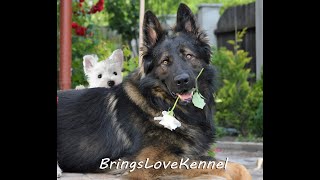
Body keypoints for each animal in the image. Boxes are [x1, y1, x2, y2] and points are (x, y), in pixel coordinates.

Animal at [58, 3, 252, 179]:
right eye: (165, 62)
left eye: (188, 55)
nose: (182, 81)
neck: (159, 103)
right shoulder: (153, 163)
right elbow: (228, 167)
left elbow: (235, 166)